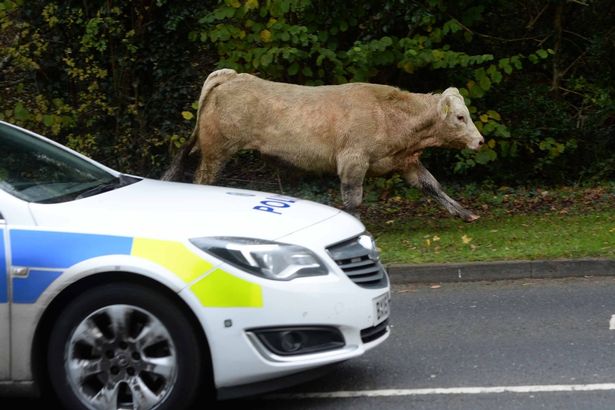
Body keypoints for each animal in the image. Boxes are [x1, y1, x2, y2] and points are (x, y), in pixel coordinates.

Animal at [164, 68, 486, 221]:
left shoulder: (405, 162)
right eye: (460, 116)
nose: (480, 140)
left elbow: (433, 186)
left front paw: (464, 213)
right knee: (202, 180)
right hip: (217, 150)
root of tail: (232, 76)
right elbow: (353, 200)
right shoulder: (353, 162)